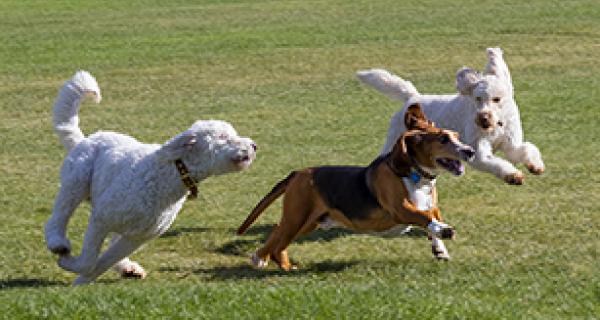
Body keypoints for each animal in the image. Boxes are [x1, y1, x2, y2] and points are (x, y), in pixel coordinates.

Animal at [44, 70, 255, 284]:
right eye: (223, 137)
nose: (253, 146)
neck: (168, 176)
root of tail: (86, 139)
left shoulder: (137, 237)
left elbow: (100, 263)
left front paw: (80, 281)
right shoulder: (101, 218)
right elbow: (89, 260)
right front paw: (67, 264)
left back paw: (128, 268)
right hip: (76, 182)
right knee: (58, 216)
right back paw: (58, 243)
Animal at [236, 104, 474, 270]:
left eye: (456, 136)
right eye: (443, 139)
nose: (470, 151)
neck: (417, 176)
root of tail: (299, 173)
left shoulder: (431, 206)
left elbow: (432, 217)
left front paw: (439, 248)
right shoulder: (400, 209)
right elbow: (425, 218)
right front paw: (444, 230)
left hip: (308, 222)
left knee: (277, 236)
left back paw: (263, 258)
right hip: (297, 217)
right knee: (278, 240)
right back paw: (280, 265)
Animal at [358, 46, 548, 184]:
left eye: (497, 99)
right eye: (477, 98)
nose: (482, 118)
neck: (496, 126)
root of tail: (412, 98)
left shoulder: (510, 144)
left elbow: (526, 149)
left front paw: (535, 166)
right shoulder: (478, 150)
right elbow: (493, 161)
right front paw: (513, 175)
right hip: (395, 140)